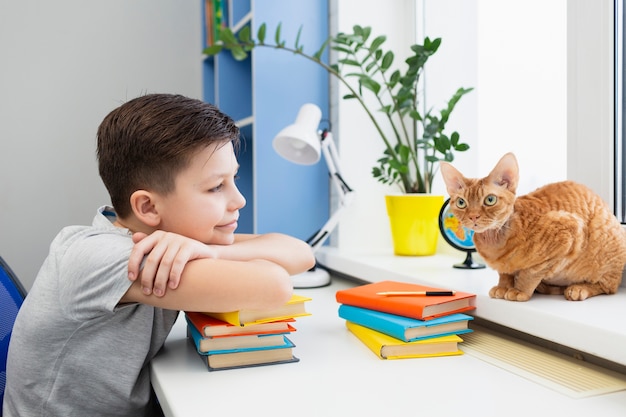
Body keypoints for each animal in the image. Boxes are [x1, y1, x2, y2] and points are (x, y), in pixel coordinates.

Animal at [438, 151, 624, 300]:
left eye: (490, 200)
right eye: (461, 203)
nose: (473, 216)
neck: (494, 242)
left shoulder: (568, 232)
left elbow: (531, 272)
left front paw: (520, 290)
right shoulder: (503, 265)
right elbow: (504, 271)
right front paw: (504, 286)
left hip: (605, 239)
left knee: (608, 287)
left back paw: (578, 289)